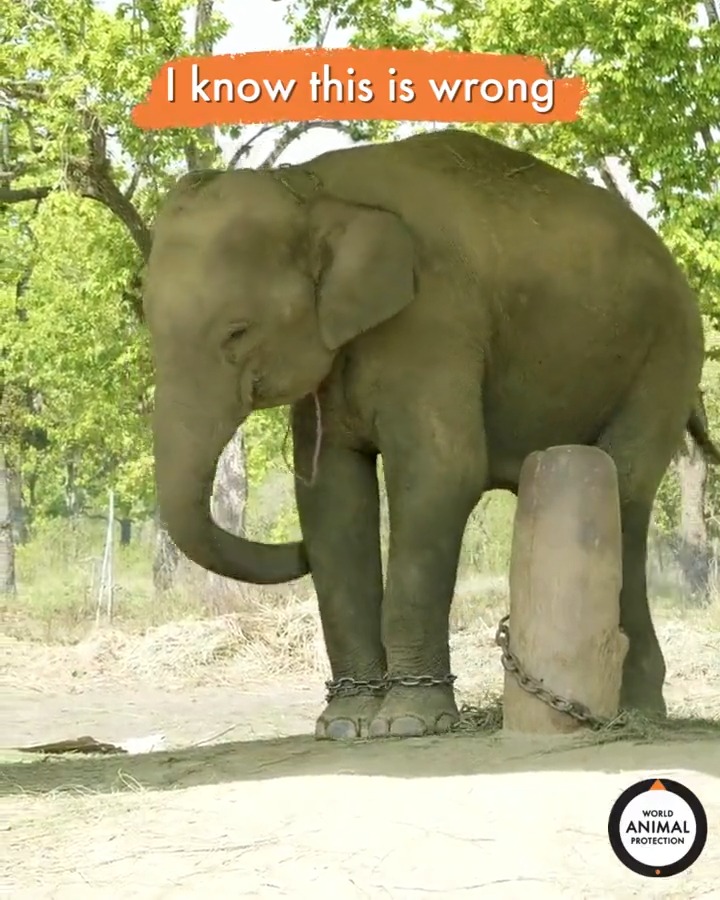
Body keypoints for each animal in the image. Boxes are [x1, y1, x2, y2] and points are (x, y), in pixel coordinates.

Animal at [142, 128, 719, 740]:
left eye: (237, 332)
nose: (290, 550)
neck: (310, 185)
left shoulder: (434, 318)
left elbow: (439, 475)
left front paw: (408, 723)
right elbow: (330, 499)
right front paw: (345, 726)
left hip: (668, 353)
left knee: (625, 487)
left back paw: (635, 714)